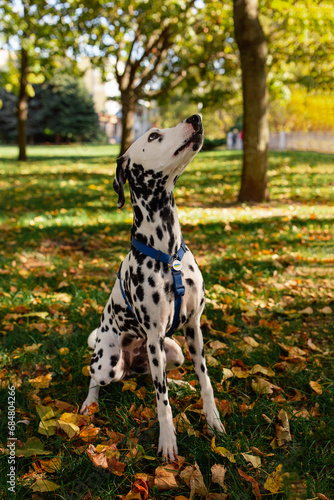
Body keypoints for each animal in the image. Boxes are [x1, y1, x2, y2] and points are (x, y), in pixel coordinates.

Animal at [81, 115, 226, 458]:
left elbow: (206, 381)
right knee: (96, 376)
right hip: (110, 362)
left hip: (172, 352)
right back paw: (89, 404)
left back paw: (179, 384)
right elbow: (162, 403)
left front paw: (212, 419)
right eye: (154, 136)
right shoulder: (155, 335)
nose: (196, 118)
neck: (168, 250)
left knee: (154, 378)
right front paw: (168, 440)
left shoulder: (194, 330)